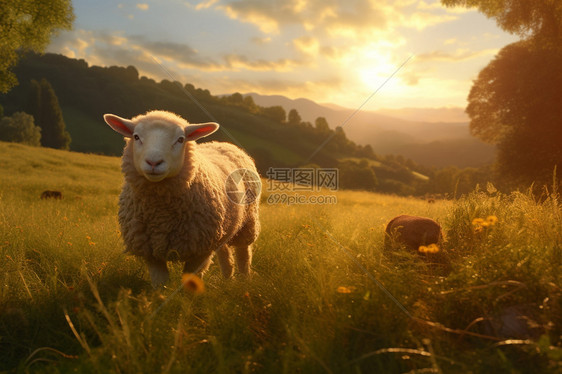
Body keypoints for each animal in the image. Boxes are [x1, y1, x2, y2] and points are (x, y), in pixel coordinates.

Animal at [103, 109, 260, 288]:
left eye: (180, 139)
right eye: (136, 137)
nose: (154, 162)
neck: (161, 216)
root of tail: (224, 143)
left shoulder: (200, 251)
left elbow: (190, 283)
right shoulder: (150, 251)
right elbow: (159, 282)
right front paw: (160, 294)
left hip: (248, 222)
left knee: (243, 253)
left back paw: (244, 279)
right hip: (225, 225)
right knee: (224, 251)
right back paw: (228, 278)